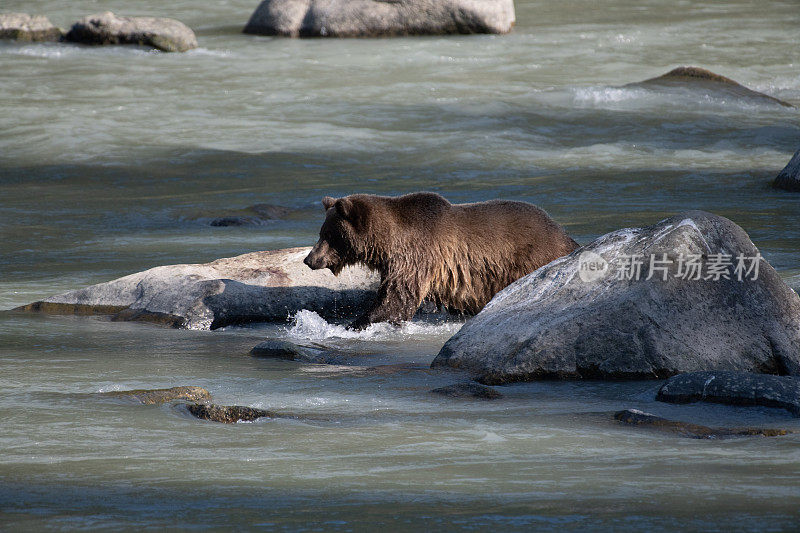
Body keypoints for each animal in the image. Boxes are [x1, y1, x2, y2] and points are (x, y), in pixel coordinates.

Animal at [304, 191, 580, 328]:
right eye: (322, 232)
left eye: (329, 234)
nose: (309, 259)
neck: (387, 243)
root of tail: (564, 234)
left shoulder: (416, 257)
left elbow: (397, 298)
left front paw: (356, 322)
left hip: (530, 257)